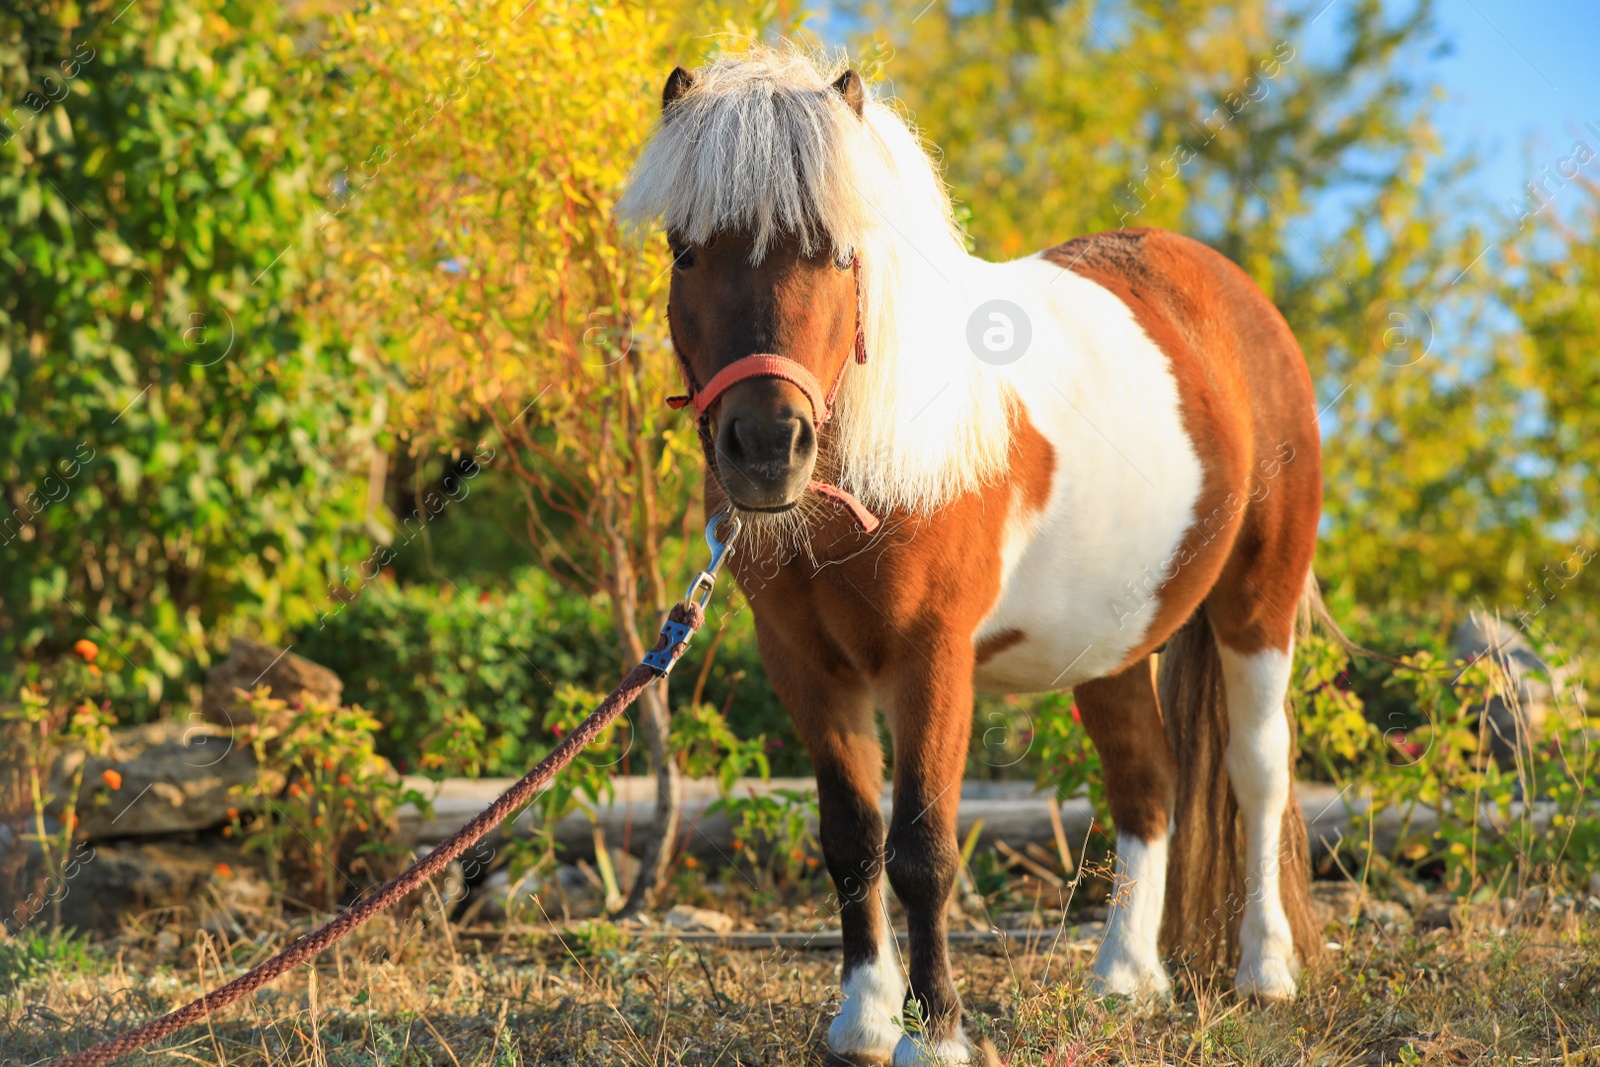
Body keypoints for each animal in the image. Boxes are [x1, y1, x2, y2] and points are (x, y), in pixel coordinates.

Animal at [617, 47, 1318, 1067]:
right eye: (686, 252)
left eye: (838, 253)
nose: (766, 447)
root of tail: (1230, 294)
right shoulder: (806, 665)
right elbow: (851, 838)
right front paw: (863, 1019)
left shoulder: (932, 661)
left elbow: (922, 849)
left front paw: (936, 1032)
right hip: (1110, 644)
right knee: (1147, 783)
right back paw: (1123, 978)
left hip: (1258, 602)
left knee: (1257, 772)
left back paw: (1265, 971)